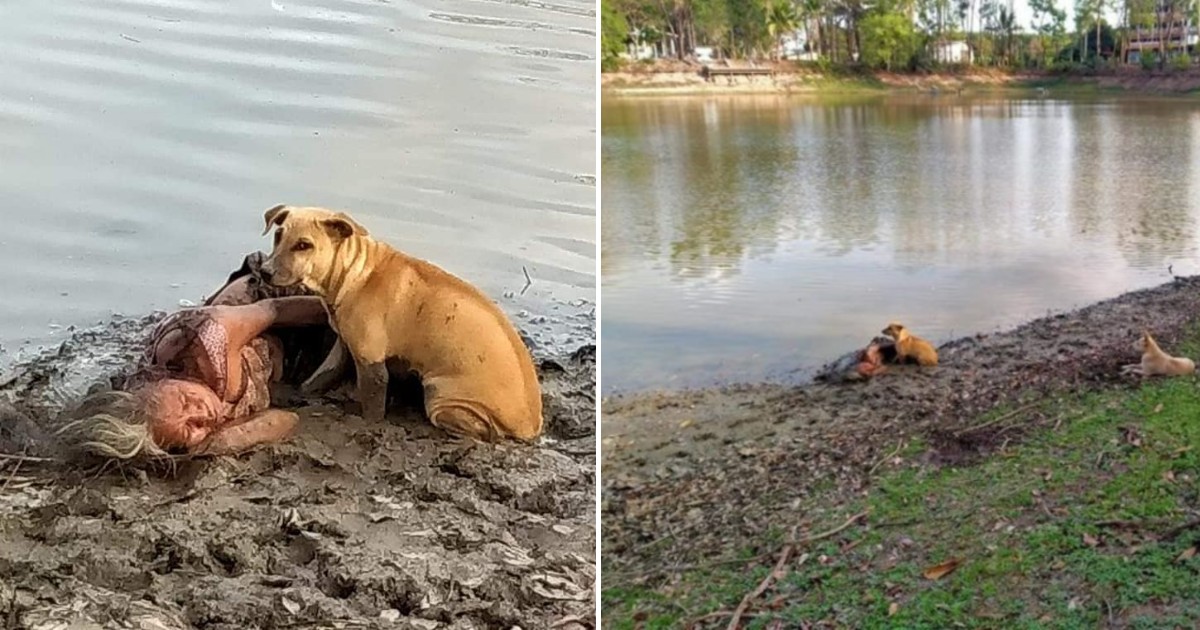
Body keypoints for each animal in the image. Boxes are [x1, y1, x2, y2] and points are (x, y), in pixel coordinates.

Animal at [265, 204, 547, 439]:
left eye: (304, 245)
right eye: (278, 236)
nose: (266, 272)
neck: (356, 273)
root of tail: (531, 426)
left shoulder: (372, 363)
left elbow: (372, 407)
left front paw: (367, 423)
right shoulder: (344, 346)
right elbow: (319, 377)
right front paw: (300, 393)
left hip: (440, 397)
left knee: (483, 430)